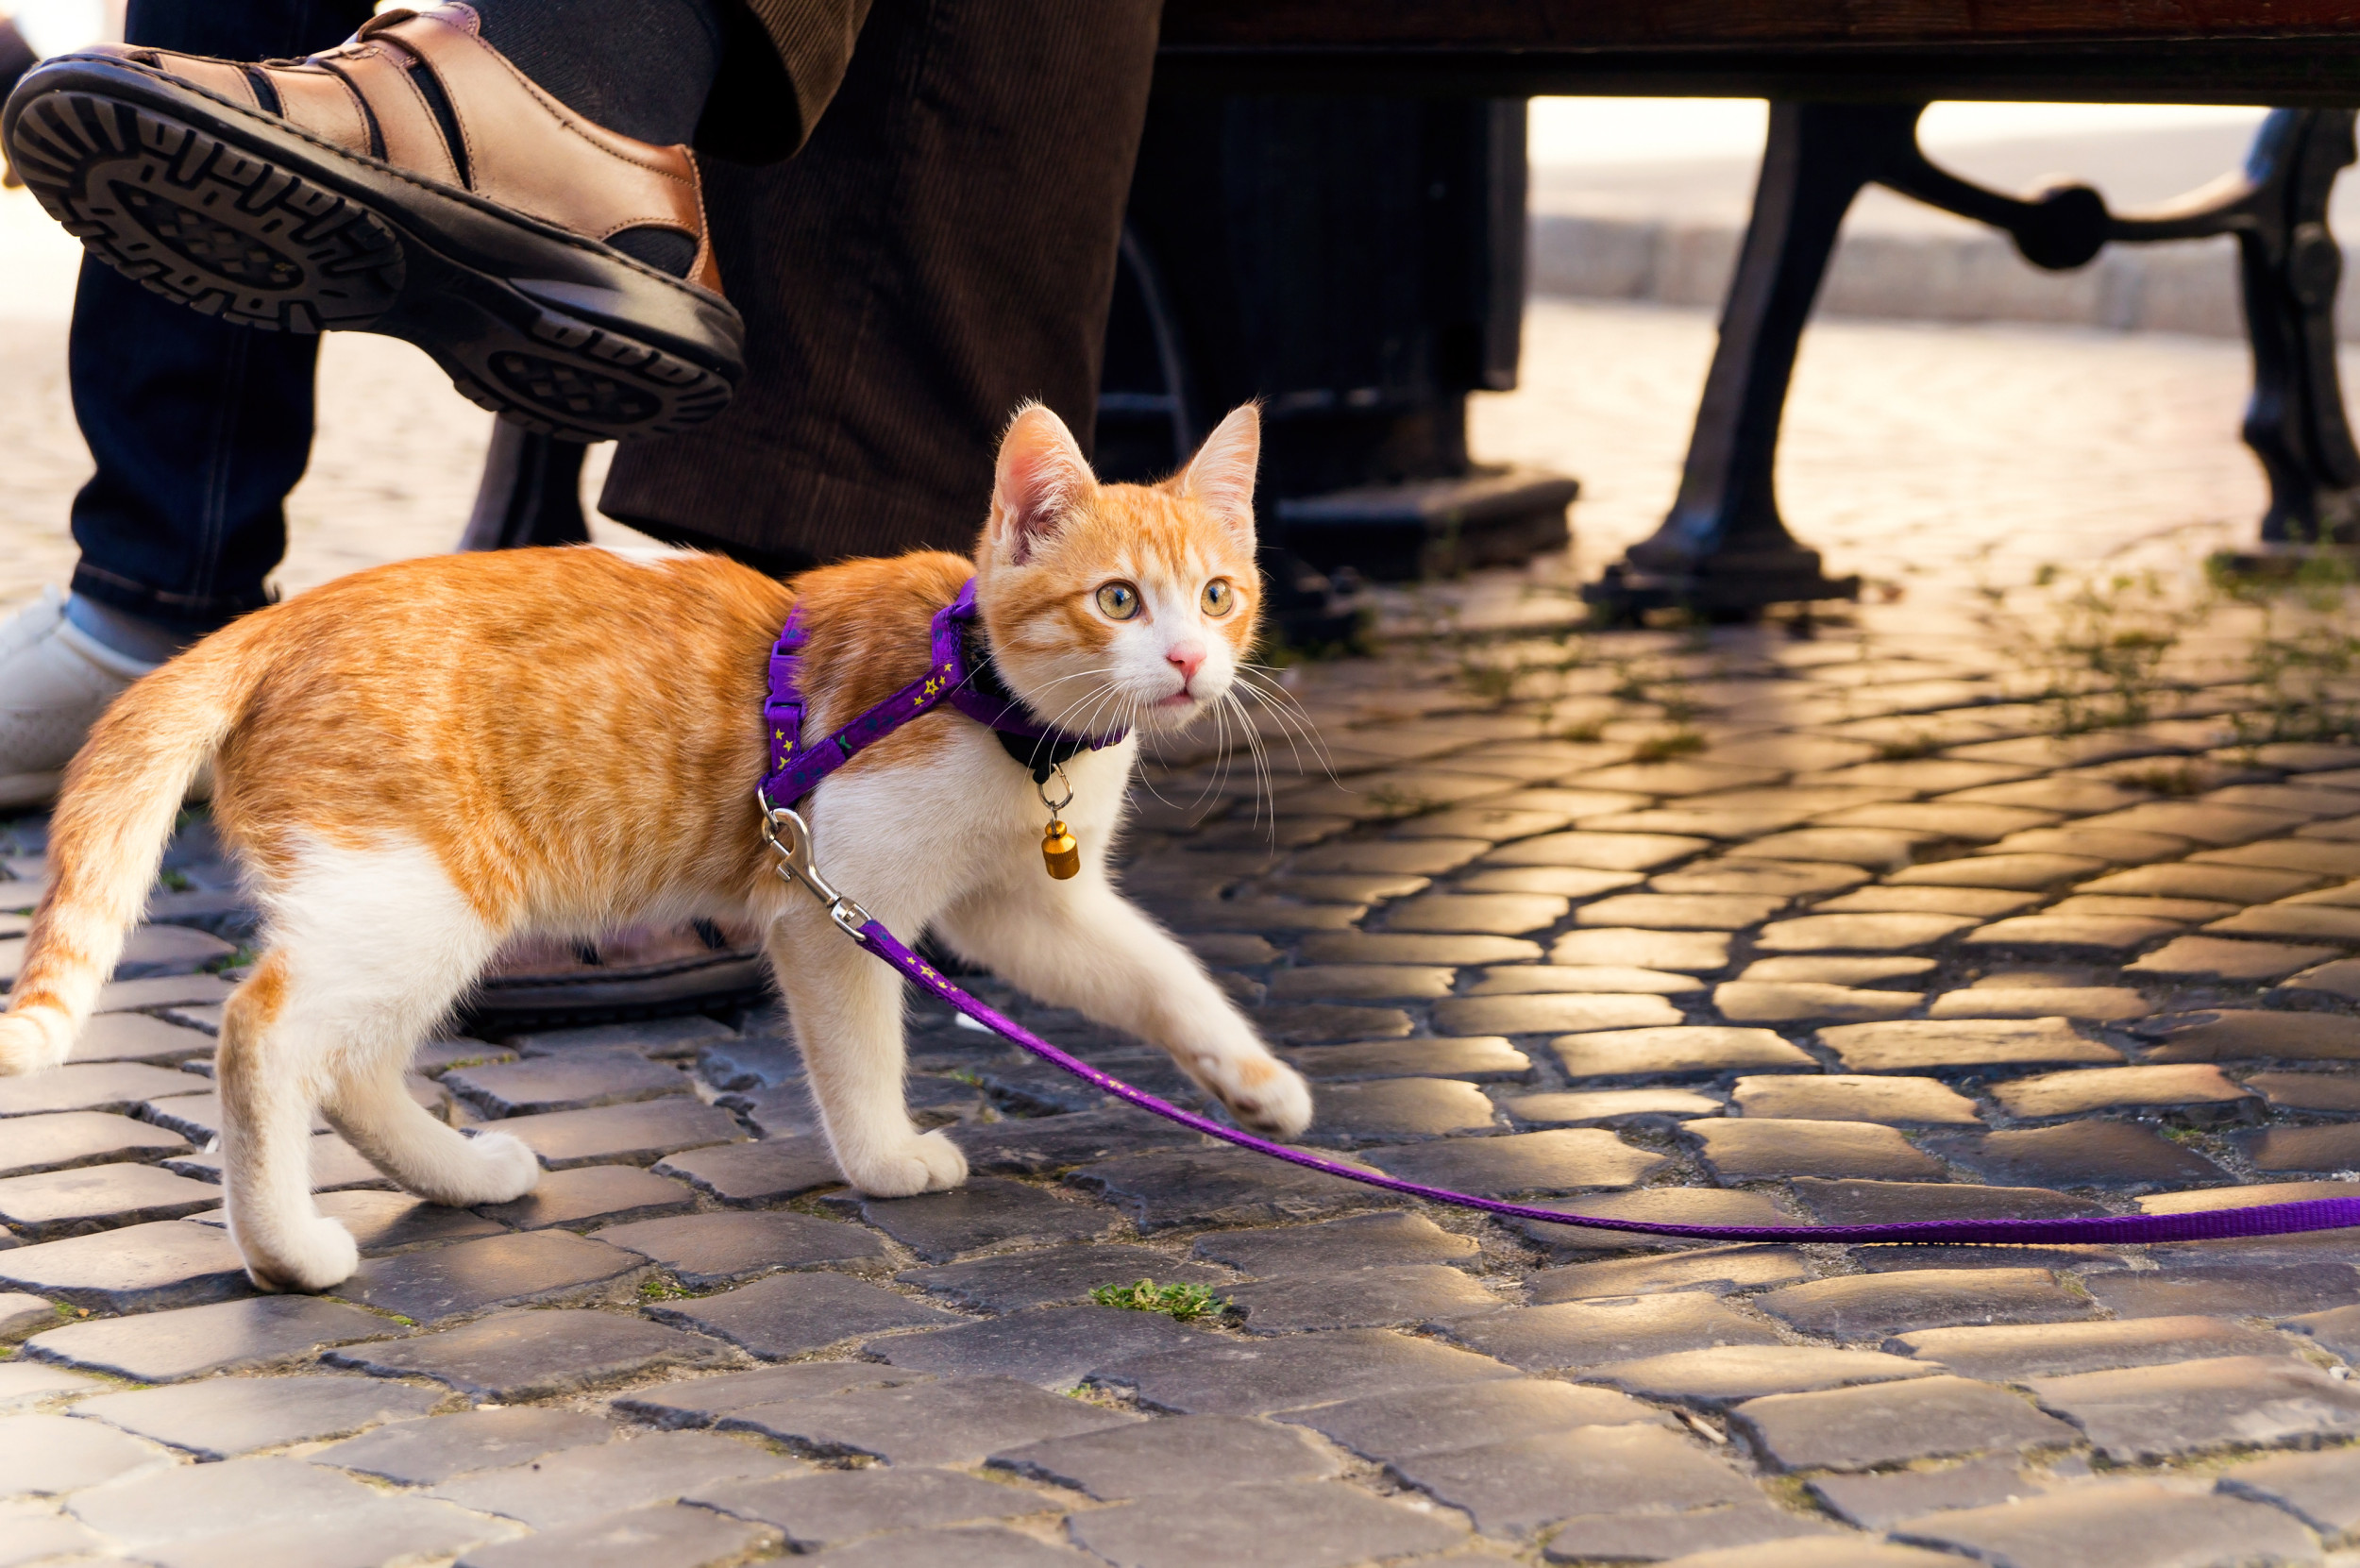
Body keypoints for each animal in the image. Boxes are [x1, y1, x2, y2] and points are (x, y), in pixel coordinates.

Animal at [0, 401, 1312, 1284]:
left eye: (1218, 595)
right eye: (1117, 601)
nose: (1189, 662)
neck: (1004, 713)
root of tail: (278, 618)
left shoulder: (1021, 906)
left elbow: (1156, 974)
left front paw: (1255, 1080)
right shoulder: (834, 901)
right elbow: (860, 1053)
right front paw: (886, 1157)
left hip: (414, 908)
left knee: (354, 1063)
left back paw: (459, 1176)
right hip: (413, 894)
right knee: (262, 1035)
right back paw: (286, 1248)